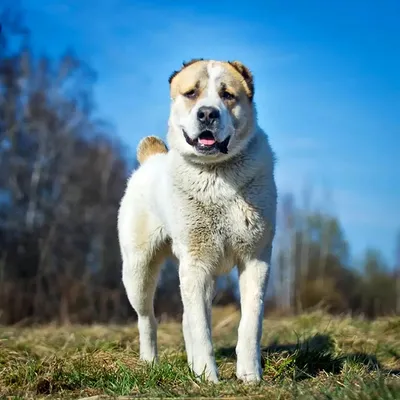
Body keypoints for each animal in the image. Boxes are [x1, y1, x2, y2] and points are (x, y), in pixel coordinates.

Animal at [117, 57, 276, 382]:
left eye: (227, 95)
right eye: (191, 93)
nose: (207, 113)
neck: (217, 173)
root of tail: (151, 159)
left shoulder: (256, 259)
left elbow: (251, 321)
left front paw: (250, 375)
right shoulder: (196, 263)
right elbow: (202, 327)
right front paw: (208, 378)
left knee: (185, 318)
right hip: (138, 271)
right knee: (147, 318)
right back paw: (150, 362)